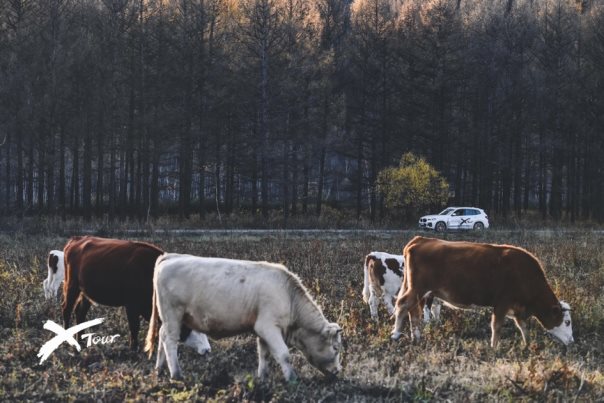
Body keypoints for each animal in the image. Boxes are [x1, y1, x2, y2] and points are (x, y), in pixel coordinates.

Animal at [62, 235, 211, 356]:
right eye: (190, 325)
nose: (207, 350)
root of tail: (77, 239)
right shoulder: (131, 305)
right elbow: (134, 326)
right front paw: (134, 348)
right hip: (72, 285)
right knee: (66, 309)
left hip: (86, 292)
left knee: (80, 312)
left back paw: (80, 340)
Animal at [145, 256, 342, 382]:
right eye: (336, 348)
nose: (338, 371)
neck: (288, 296)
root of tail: (170, 257)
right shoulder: (268, 327)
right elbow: (283, 354)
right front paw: (292, 379)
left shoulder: (262, 331)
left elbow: (264, 355)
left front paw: (262, 378)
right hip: (173, 314)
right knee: (170, 340)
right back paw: (176, 374)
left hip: (172, 318)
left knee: (161, 336)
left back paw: (160, 369)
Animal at [390, 237, 572, 348]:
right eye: (567, 322)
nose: (572, 341)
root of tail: (420, 240)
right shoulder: (502, 302)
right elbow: (496, 326)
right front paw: (494, 347)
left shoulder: (517, 308)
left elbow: (523, 327)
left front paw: (527, 345)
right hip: (418, 289)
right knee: (402, 304)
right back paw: (396, 334)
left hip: (420, 292)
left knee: (414, 311)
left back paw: (416, 337)